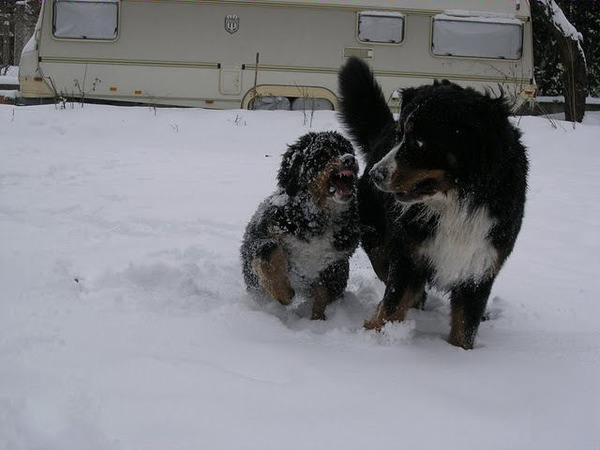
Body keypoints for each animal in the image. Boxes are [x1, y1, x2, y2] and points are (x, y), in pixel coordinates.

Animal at [240, 130, 360, 320]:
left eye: (348, 150)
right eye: (323, 154)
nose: (349, 159)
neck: (318, 217)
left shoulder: (337, 261)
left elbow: (323, 294)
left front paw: (317, 320)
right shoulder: (262, 233)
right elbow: (270, 253)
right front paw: (283, 292)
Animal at [340, 56, 528, 350]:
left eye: (419, 141)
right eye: (400, 135)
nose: (375, 175)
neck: (457, 203)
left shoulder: (479, 266)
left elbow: (465, 327)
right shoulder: (407, 257)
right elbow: (391, 307)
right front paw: (374, 338)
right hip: (379, 245)